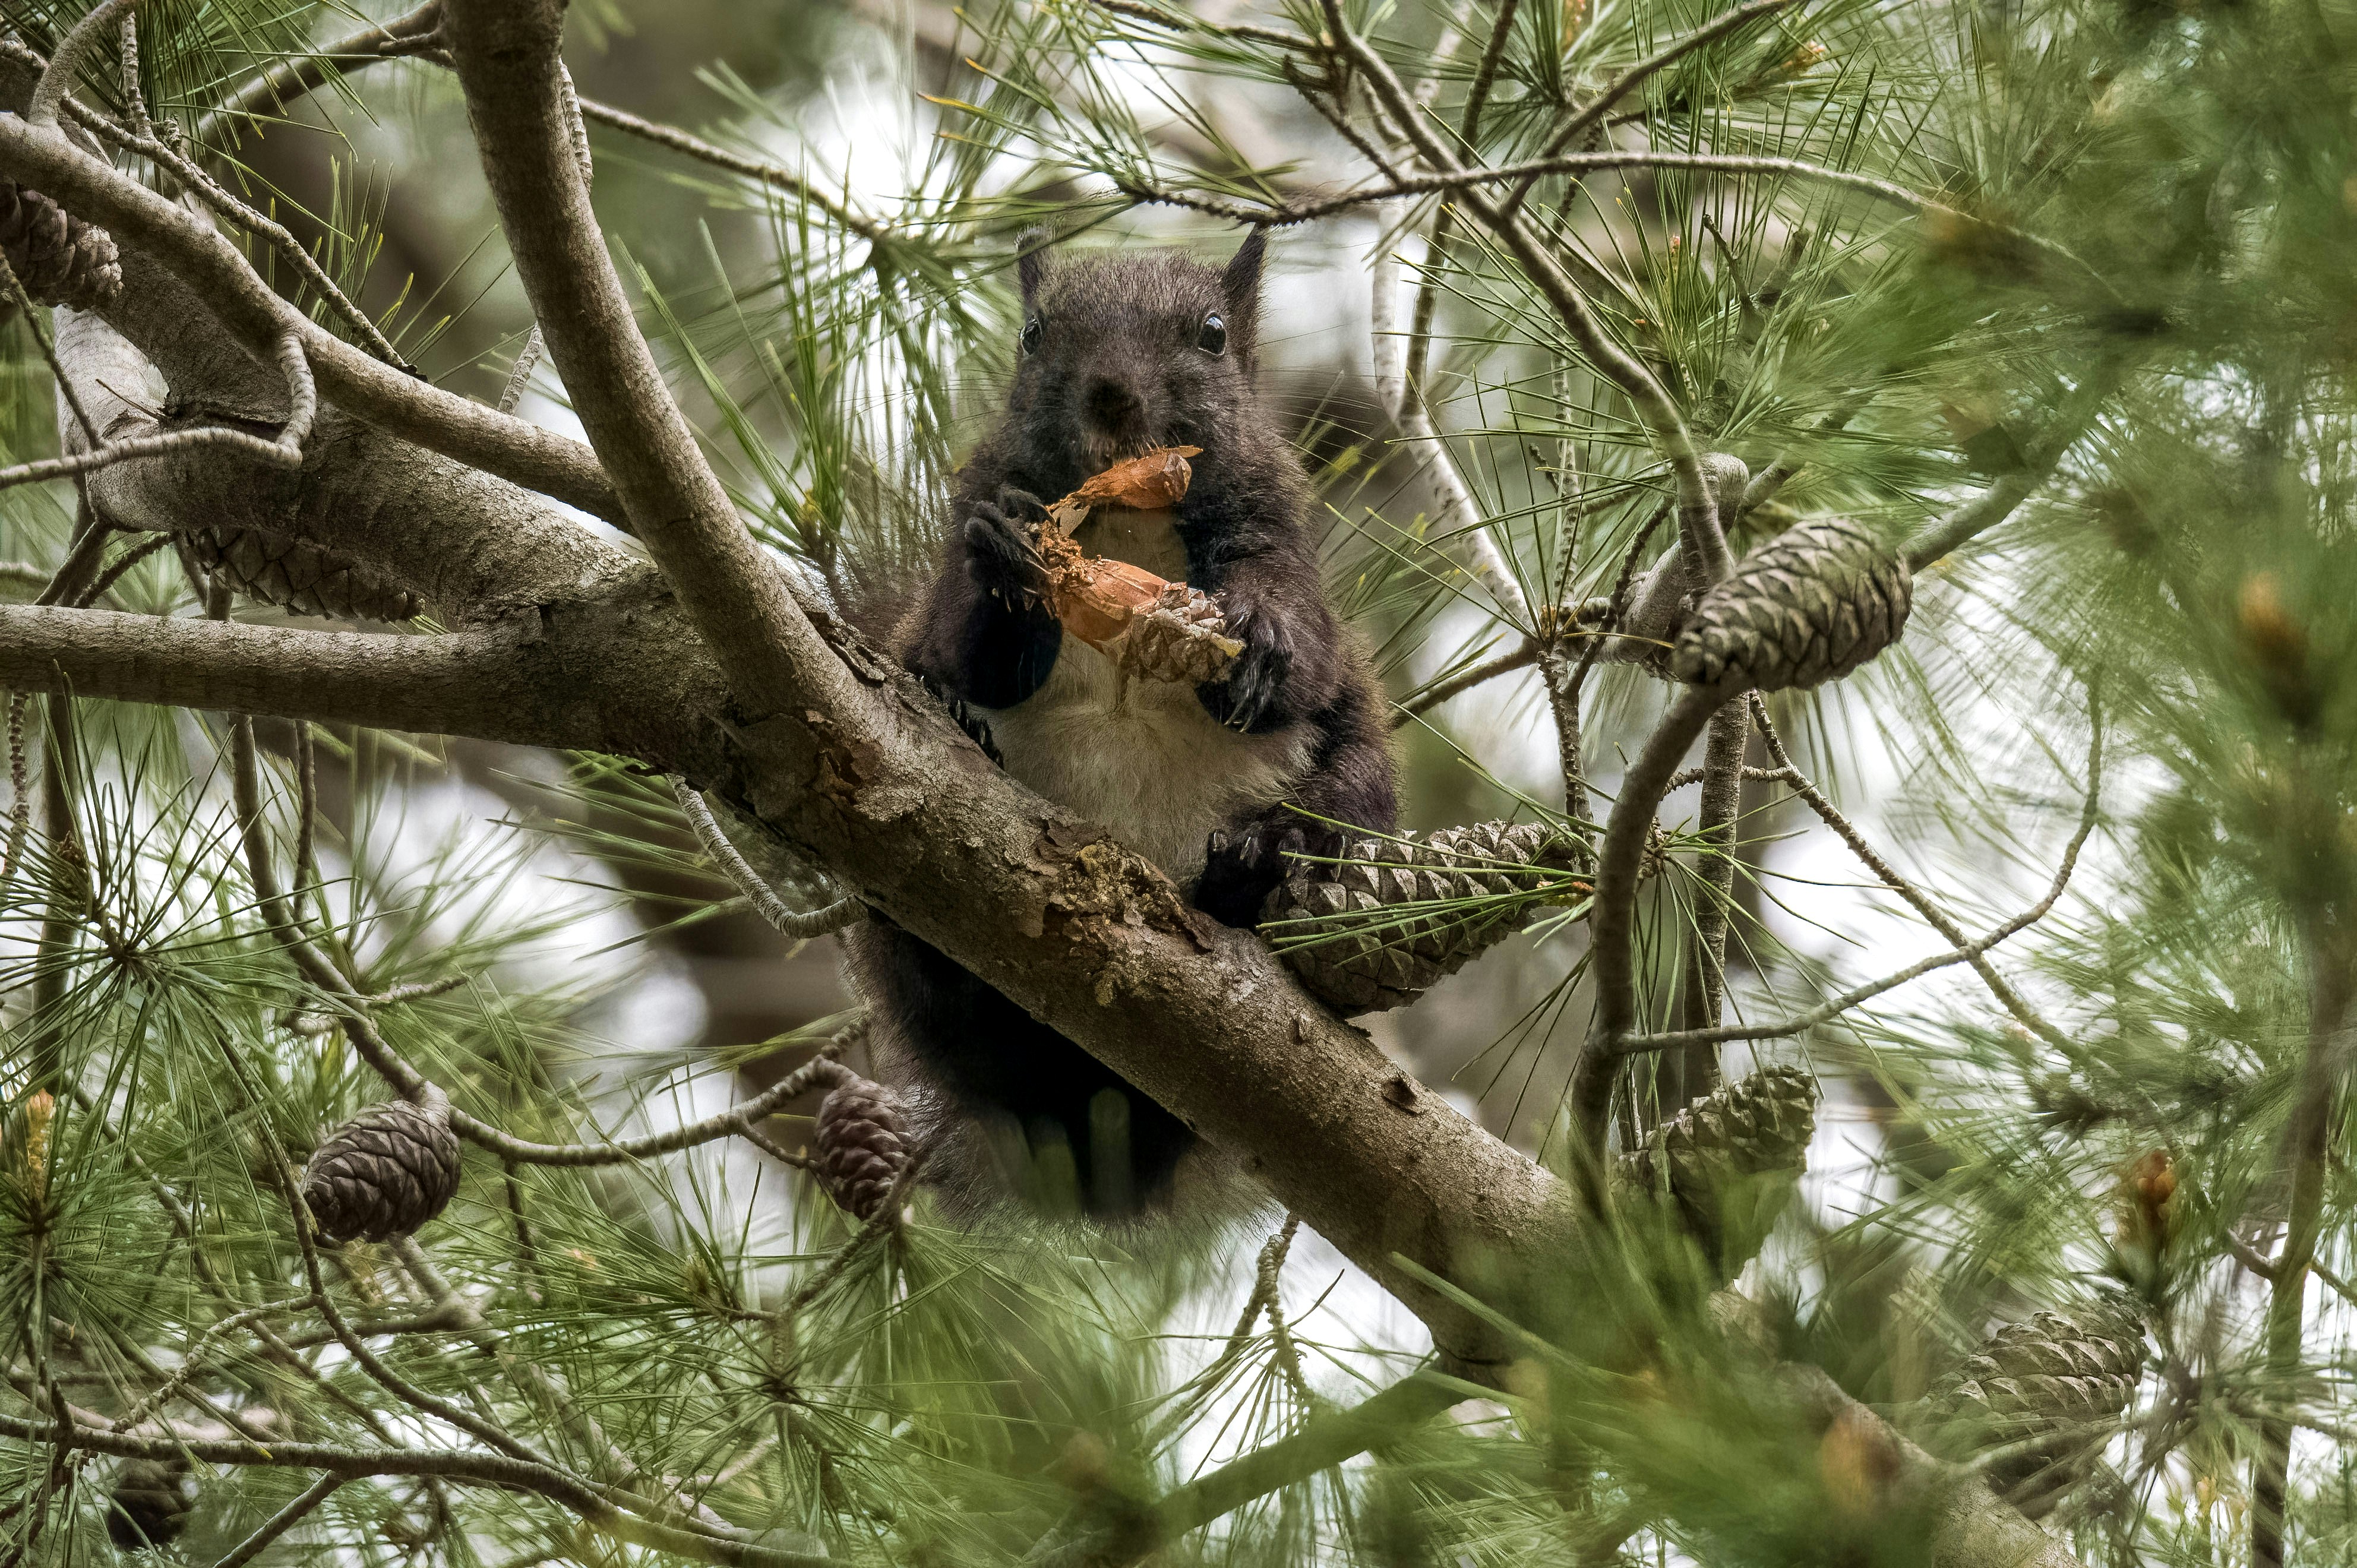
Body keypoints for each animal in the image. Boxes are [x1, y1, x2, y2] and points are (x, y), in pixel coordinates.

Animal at [843, 229, 1397, 1220]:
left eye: (1213, 334)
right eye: (1032, 334)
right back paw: (961, 739)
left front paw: (1263, 644)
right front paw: (1004, 564)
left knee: (1346, 796)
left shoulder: (1282, 541)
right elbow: (962, 645)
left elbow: (1302, 652)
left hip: (1359, 775)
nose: (1111, 394)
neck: (1128, 520)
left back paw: (1259, 860)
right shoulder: (961, 559)